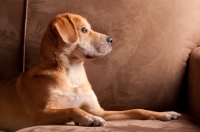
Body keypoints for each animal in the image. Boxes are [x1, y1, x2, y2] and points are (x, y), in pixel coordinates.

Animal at [0, 12, 181, 131]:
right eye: (83, 30)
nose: (111, 39)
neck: (73, 73)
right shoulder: (40, 113)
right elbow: (72, 109)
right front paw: (89, 119)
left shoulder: (101, 111)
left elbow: (137, 110)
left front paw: (164, 114)